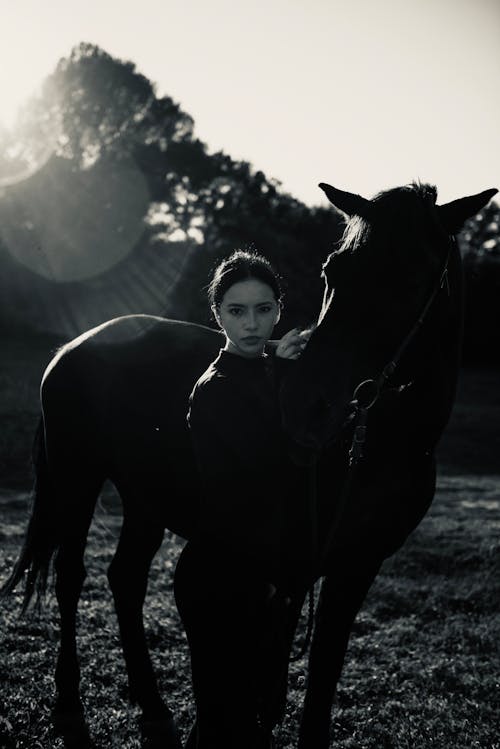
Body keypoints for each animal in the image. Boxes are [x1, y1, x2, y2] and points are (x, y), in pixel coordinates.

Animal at [1, 181, 496, 748]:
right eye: (332, 270)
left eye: (412, 277)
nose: (305, 405)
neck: (378, 446)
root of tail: (74, 345)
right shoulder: (290, 562)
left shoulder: (355, 565)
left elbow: (321, 668)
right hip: (76, 479)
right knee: (70, 577)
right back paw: (68, 703)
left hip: (145, 499)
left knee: (126, 579)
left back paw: (153, 707)